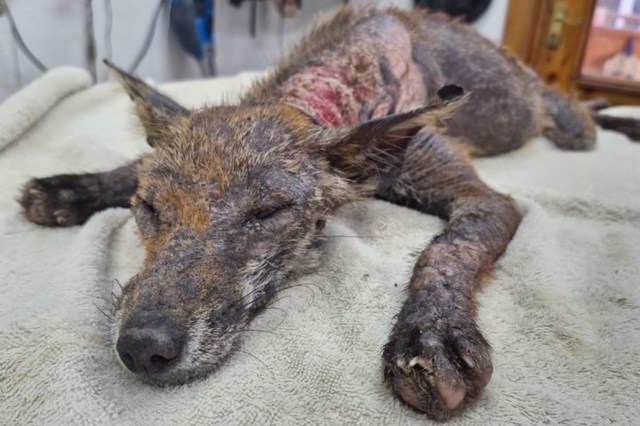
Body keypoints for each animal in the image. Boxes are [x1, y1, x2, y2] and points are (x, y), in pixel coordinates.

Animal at [18, 6, 639, 421]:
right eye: (148, 208)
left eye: (268, 211)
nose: (143, 348)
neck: (331, 84)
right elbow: (132, 165)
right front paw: (72, 189)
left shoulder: (481, 198)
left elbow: (447, 249)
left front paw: (431, 333)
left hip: (565, 126)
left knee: (585, 116)